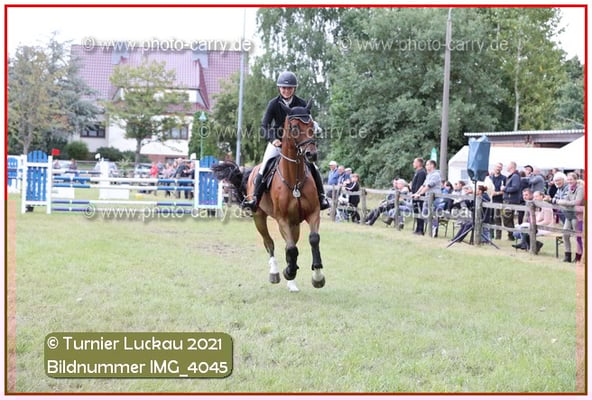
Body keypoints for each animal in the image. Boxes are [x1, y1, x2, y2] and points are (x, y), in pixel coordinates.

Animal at [212, 100, 325, 292]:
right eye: (294, 127)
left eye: (311, 125)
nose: (312, 154)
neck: (294, 180)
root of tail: (250, 171)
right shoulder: (282, 219)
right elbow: (290, 248)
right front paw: (288, 272)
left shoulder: (313, 213)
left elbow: (313, 239)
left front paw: (317, 276)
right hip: (259, 216)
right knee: (269, 243)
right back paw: (276, 273)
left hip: (294, 223)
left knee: (290, 244)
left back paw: (292, 281)